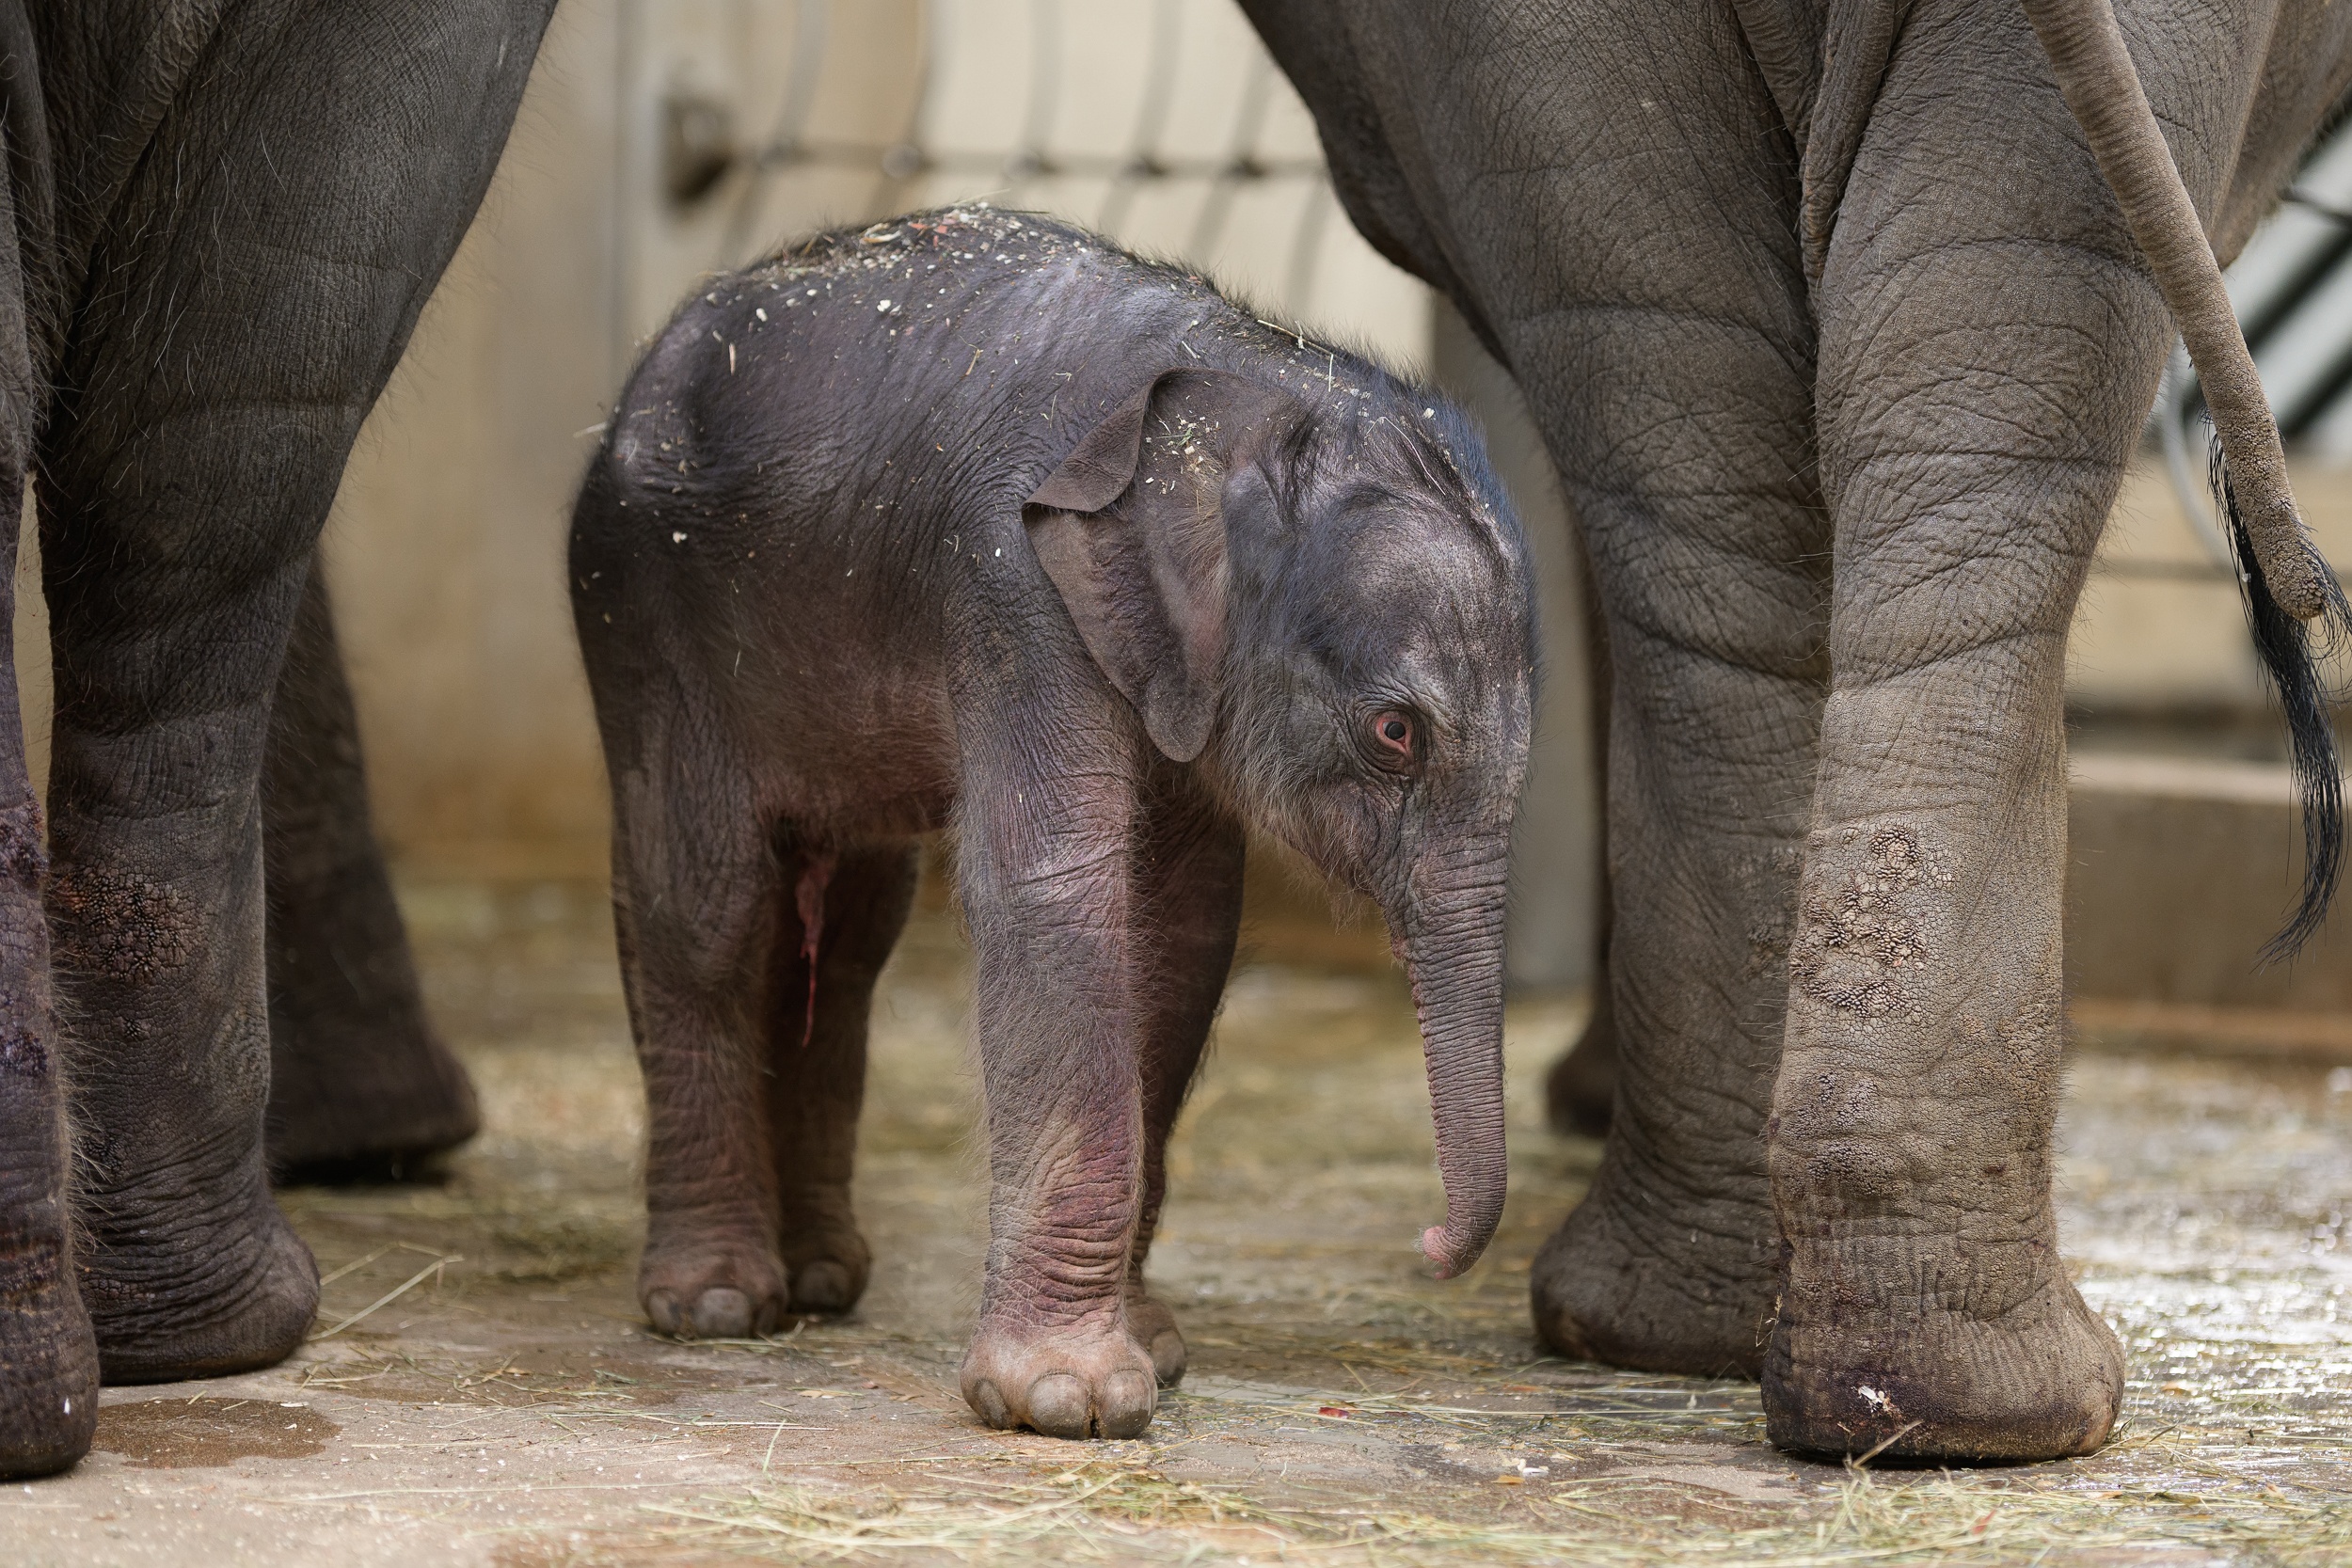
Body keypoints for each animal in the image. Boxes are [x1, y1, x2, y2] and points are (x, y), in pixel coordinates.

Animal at [576, 205, 1534, 1438]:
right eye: (1395, 731)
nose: (1428, 1243)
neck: (1246, 386)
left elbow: (1180, 929)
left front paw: (1155, 1350)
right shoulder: (1012, 587)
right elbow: (1056, 889)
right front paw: (1067, 1401)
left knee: (848, 938)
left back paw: (824, 1278)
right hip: (641, 617)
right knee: (708, 911)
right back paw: (715, 1304)